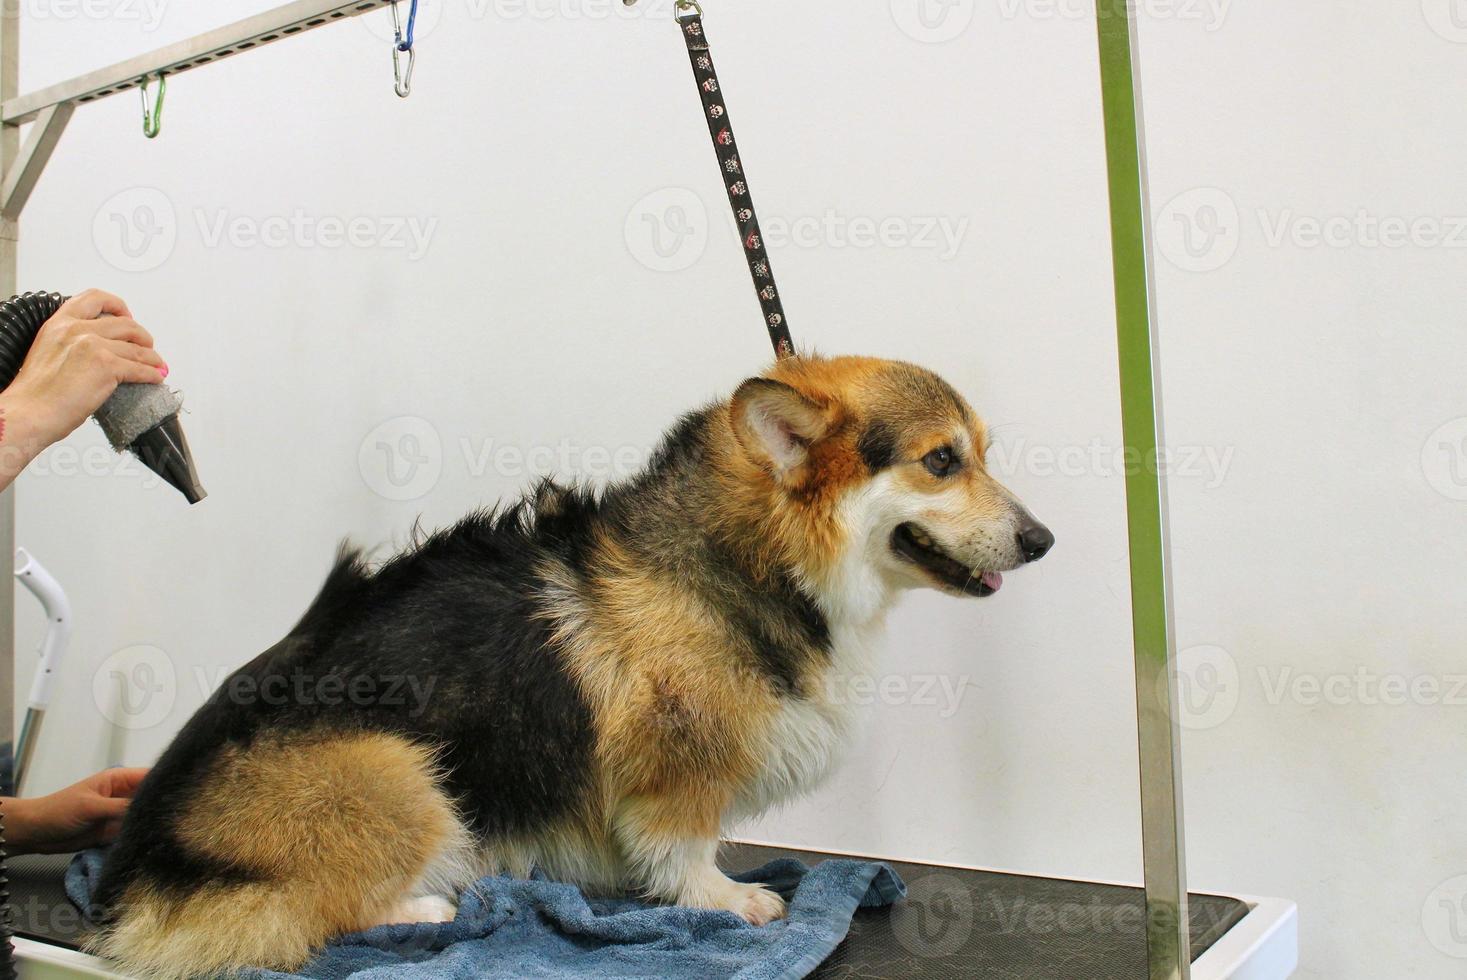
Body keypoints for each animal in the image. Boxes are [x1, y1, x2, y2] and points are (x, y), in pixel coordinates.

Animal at [88, 356, 1056, 974]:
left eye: (982, 452)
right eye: (941, 461)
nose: (1042, 541)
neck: (754, 555)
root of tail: (140, 881)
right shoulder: (678, 766)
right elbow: (682, 842)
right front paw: (726, 899)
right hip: (395, 769)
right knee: (320, 911)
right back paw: (431, 905)